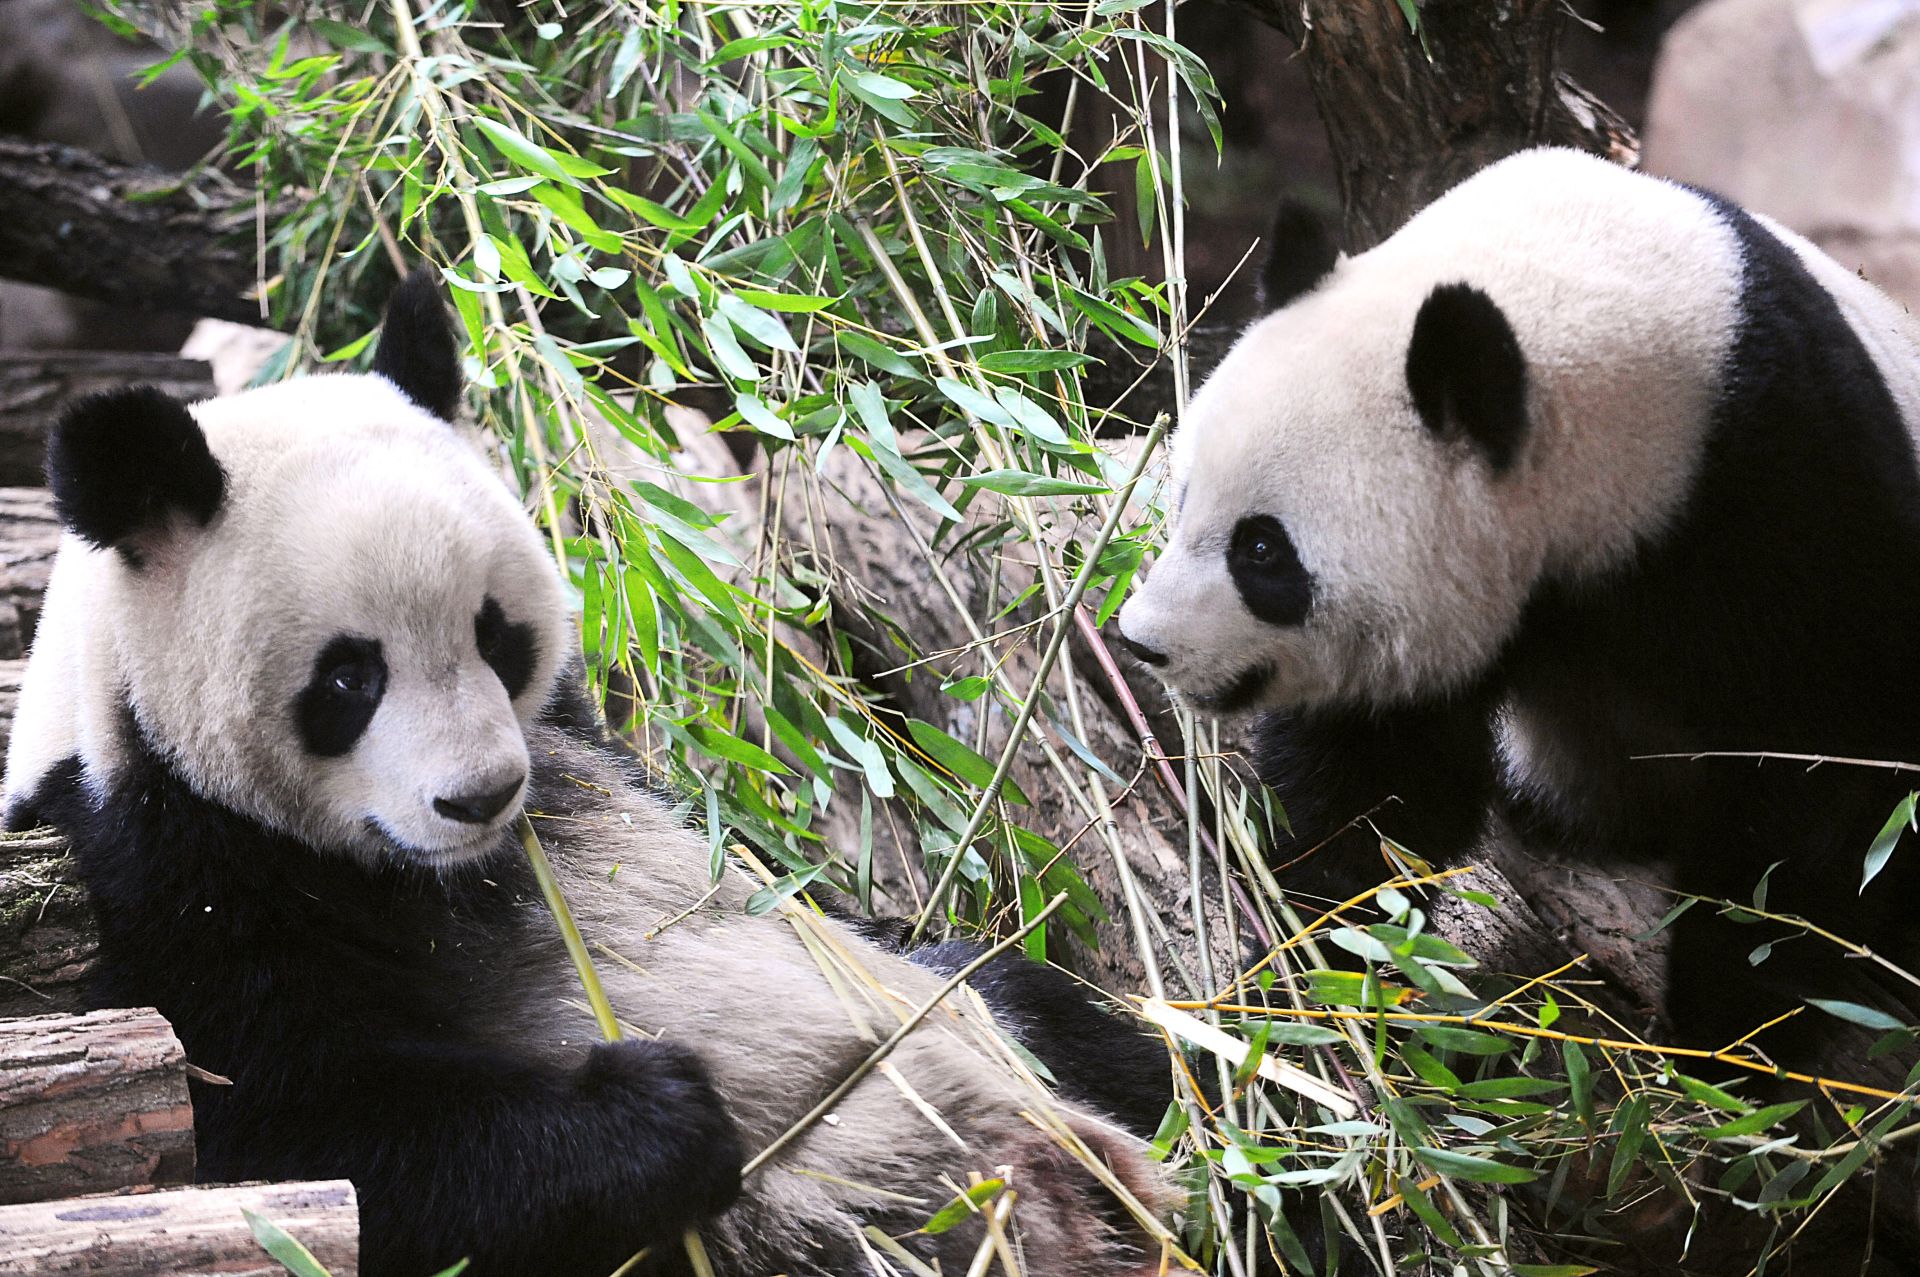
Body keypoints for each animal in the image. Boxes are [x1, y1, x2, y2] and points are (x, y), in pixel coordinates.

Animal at [3, 274, 1179, 1277]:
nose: (480, 796)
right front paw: (662, 1107)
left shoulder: (578, 742)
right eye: (347, 677)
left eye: (495, 633)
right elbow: (303, 1128)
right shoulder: (173, 867)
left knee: (1035, 1004)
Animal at [1115, 147, 1920, 1072]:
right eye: (1181, 499)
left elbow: (1823, 775)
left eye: (1261, 552)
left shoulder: (1792, 492)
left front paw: (1738, 1032)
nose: (1144, 642)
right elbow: (1373, 789)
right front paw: (1313, 969)